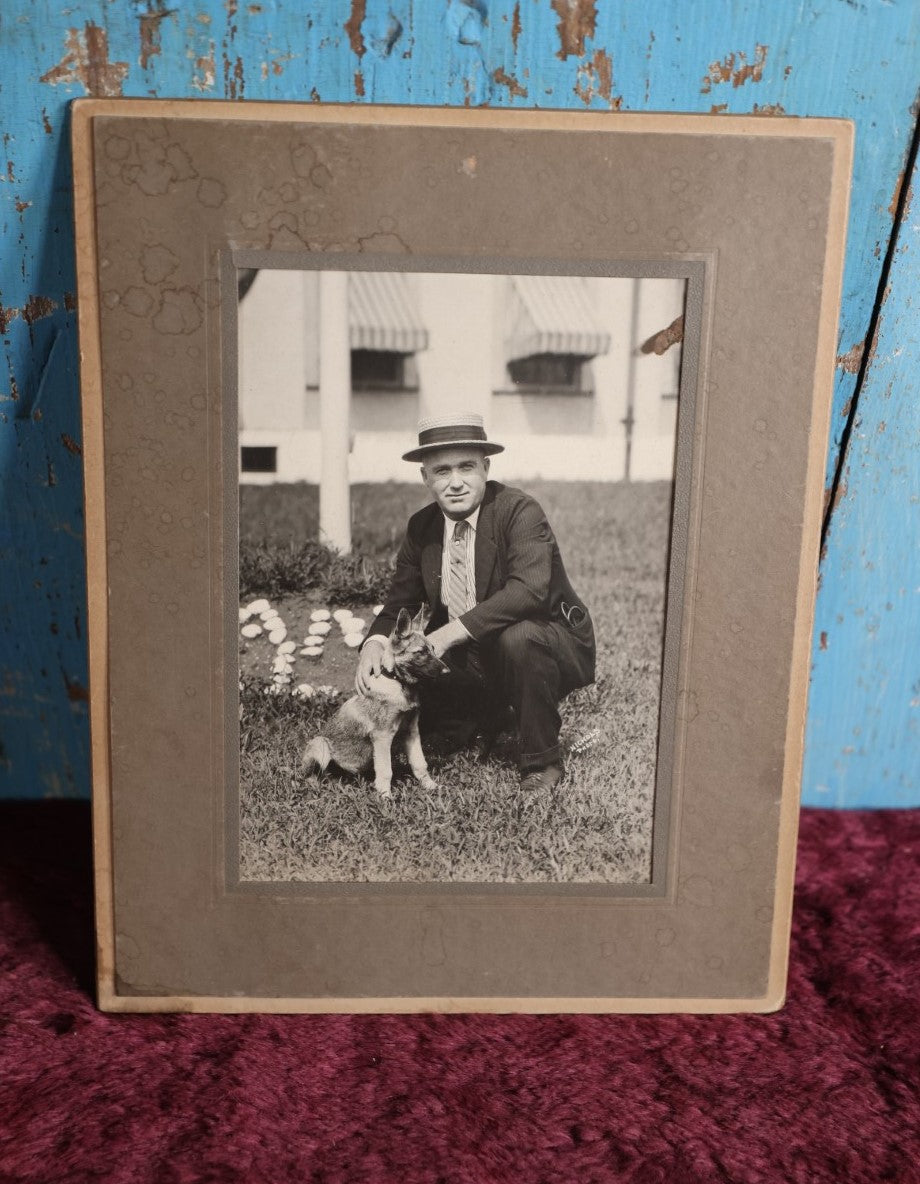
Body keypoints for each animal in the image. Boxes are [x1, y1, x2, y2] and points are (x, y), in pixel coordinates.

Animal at [303, 606, 447, 800]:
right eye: (420, 652)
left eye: (432, 649)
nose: (447, 670)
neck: (398, 683)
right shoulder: (382, 736)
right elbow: (386, 770)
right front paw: (385, 797)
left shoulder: (411, 731)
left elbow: (419, 763)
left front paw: (430, 785)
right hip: (320, 744)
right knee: (314, 775)